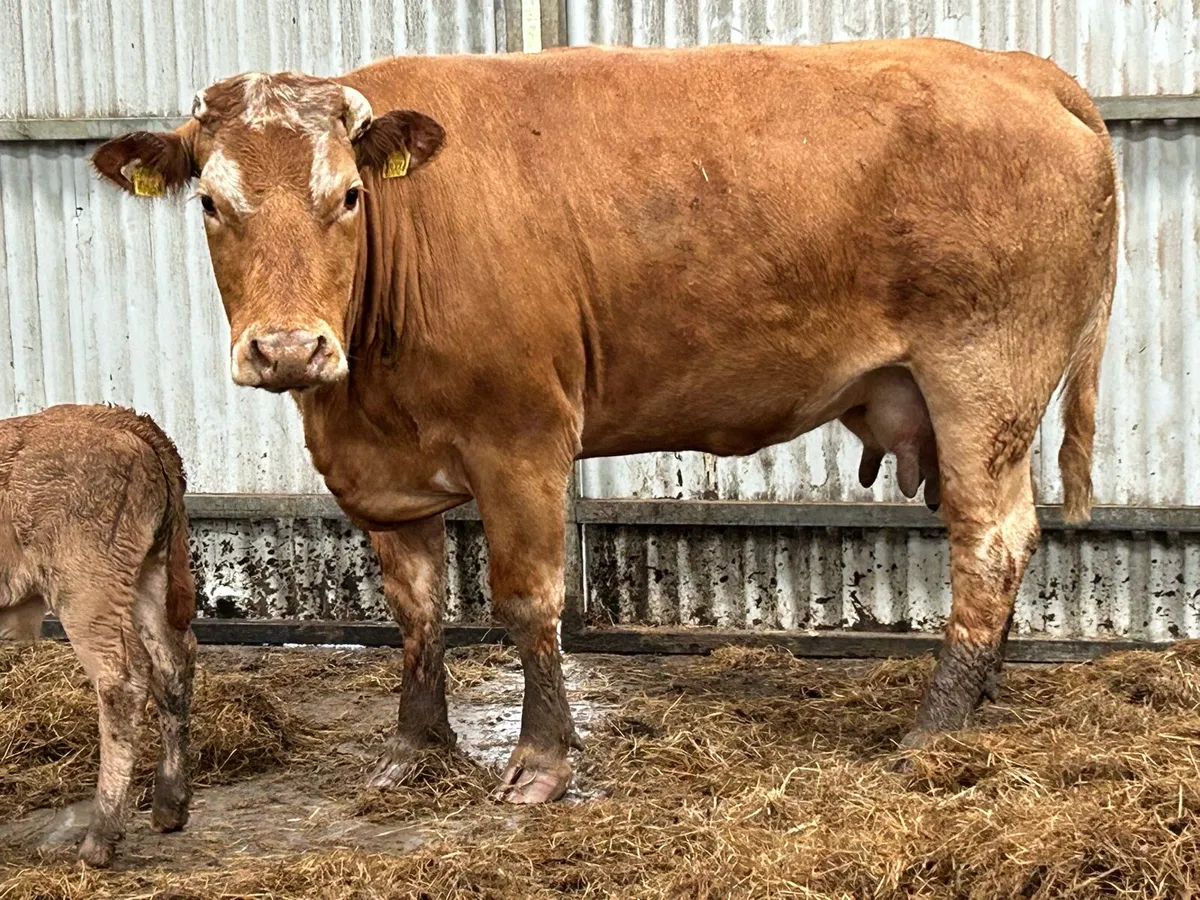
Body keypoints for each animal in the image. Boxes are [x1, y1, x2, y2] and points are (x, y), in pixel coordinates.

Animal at [0, 405, 196, 866]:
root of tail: (121, 420)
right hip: (148, 576)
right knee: (173, 664)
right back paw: (169, 807)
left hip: (86, 590)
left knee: (121, 682)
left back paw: (99, 838)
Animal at [90, 38, 1117, 803]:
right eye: (211, 202)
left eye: (346, 197)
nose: (288, 349)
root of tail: (1022, 70)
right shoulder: (382, 476)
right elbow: (417, 610)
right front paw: (414, 750)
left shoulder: (522, 441)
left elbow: (527, 601)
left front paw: (540, 762)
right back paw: (980, 696)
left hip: (984, 375)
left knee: (991, 538)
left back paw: (935, 725)